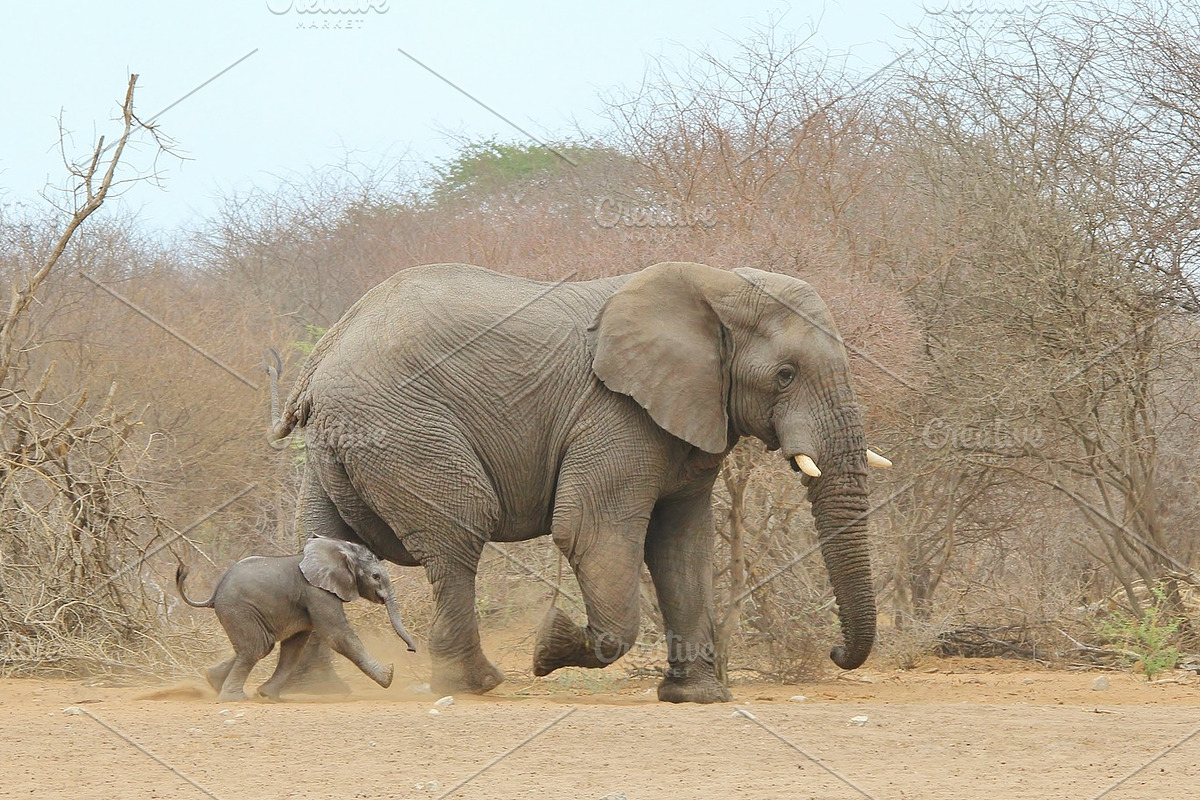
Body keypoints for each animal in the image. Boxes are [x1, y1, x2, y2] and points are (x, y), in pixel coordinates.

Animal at [176, 536, 417, 702]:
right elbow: (336, 635)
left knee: (259, 647)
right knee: (256, 648)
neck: (338, 548)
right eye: (376, 576)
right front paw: (389, 675)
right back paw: (234, 698)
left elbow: (295, 645)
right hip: (240, 609)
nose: (411, 649)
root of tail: (214, 595)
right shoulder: (317, 590)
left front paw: (268, 696)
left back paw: (212, 681)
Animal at [267, 261, 890, 703]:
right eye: (785, 375)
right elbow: (589, 531)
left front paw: (697, 698)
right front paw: (549, 645)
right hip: (401, 429)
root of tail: (323, 353)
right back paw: (477, 683)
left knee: (317, 540)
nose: (837, 651)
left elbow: (683, 545)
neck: (714, 284)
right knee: (460, 534)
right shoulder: (615, 413)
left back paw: (313, 692)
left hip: (339, 442)